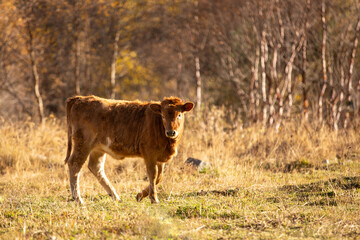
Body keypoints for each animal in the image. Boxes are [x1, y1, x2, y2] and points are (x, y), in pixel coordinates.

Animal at [64, 94, 194, 203]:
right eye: (162, 115)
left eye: (179, 115)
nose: (171, 132)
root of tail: (79, 98)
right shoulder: (149, 154)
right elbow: (153, 175)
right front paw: (154, 199)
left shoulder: (160, 157)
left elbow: (159, 177)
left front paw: (140, 195)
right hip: (83, 144)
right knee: (74, 164)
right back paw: (78, 199)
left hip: (98, 148)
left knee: (96, 167)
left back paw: (116, 197)